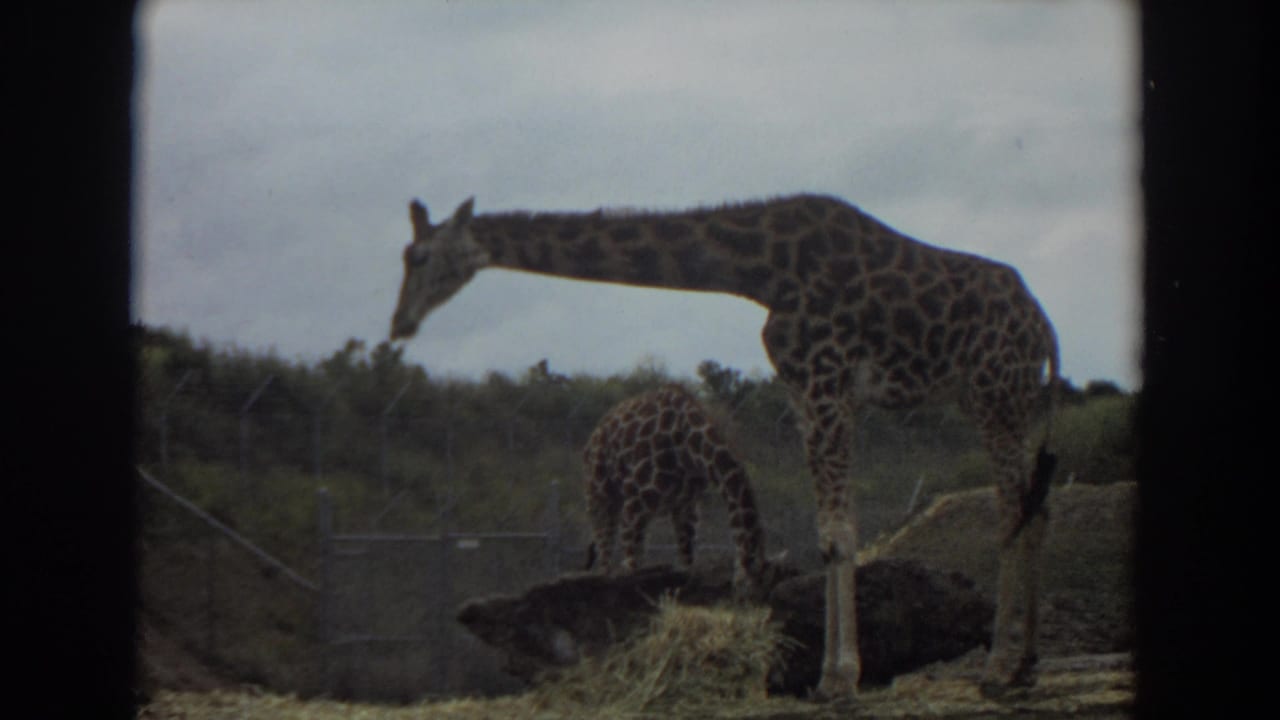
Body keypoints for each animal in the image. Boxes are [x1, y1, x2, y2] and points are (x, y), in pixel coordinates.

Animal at [582, 383, 768, 597]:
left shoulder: (686, 507)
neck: (688, 448)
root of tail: (592, 438)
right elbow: (631, 564)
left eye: (763, 578)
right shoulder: (635, 503)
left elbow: (687, 563)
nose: (748, 597)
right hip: (600, 497)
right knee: (604, 552)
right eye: (750, 579)